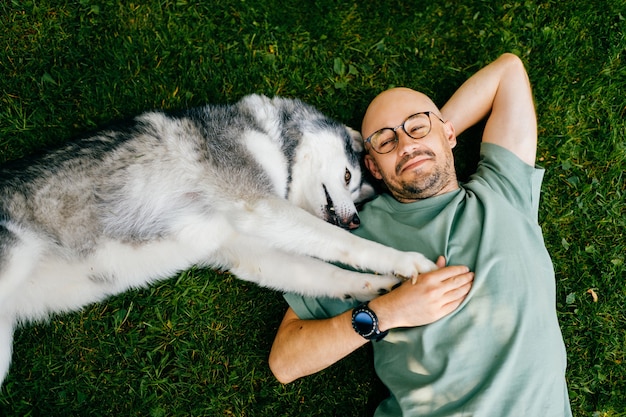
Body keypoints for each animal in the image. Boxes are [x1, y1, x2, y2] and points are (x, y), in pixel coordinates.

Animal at [0, 93, 434, 384]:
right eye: (347, 176)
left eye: (359, 193)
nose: (356, 219)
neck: (273, 140)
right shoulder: (258, 206)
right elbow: (344, 246)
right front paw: (404, 261)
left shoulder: (244, 248)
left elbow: (323, 273)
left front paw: (382, 287)